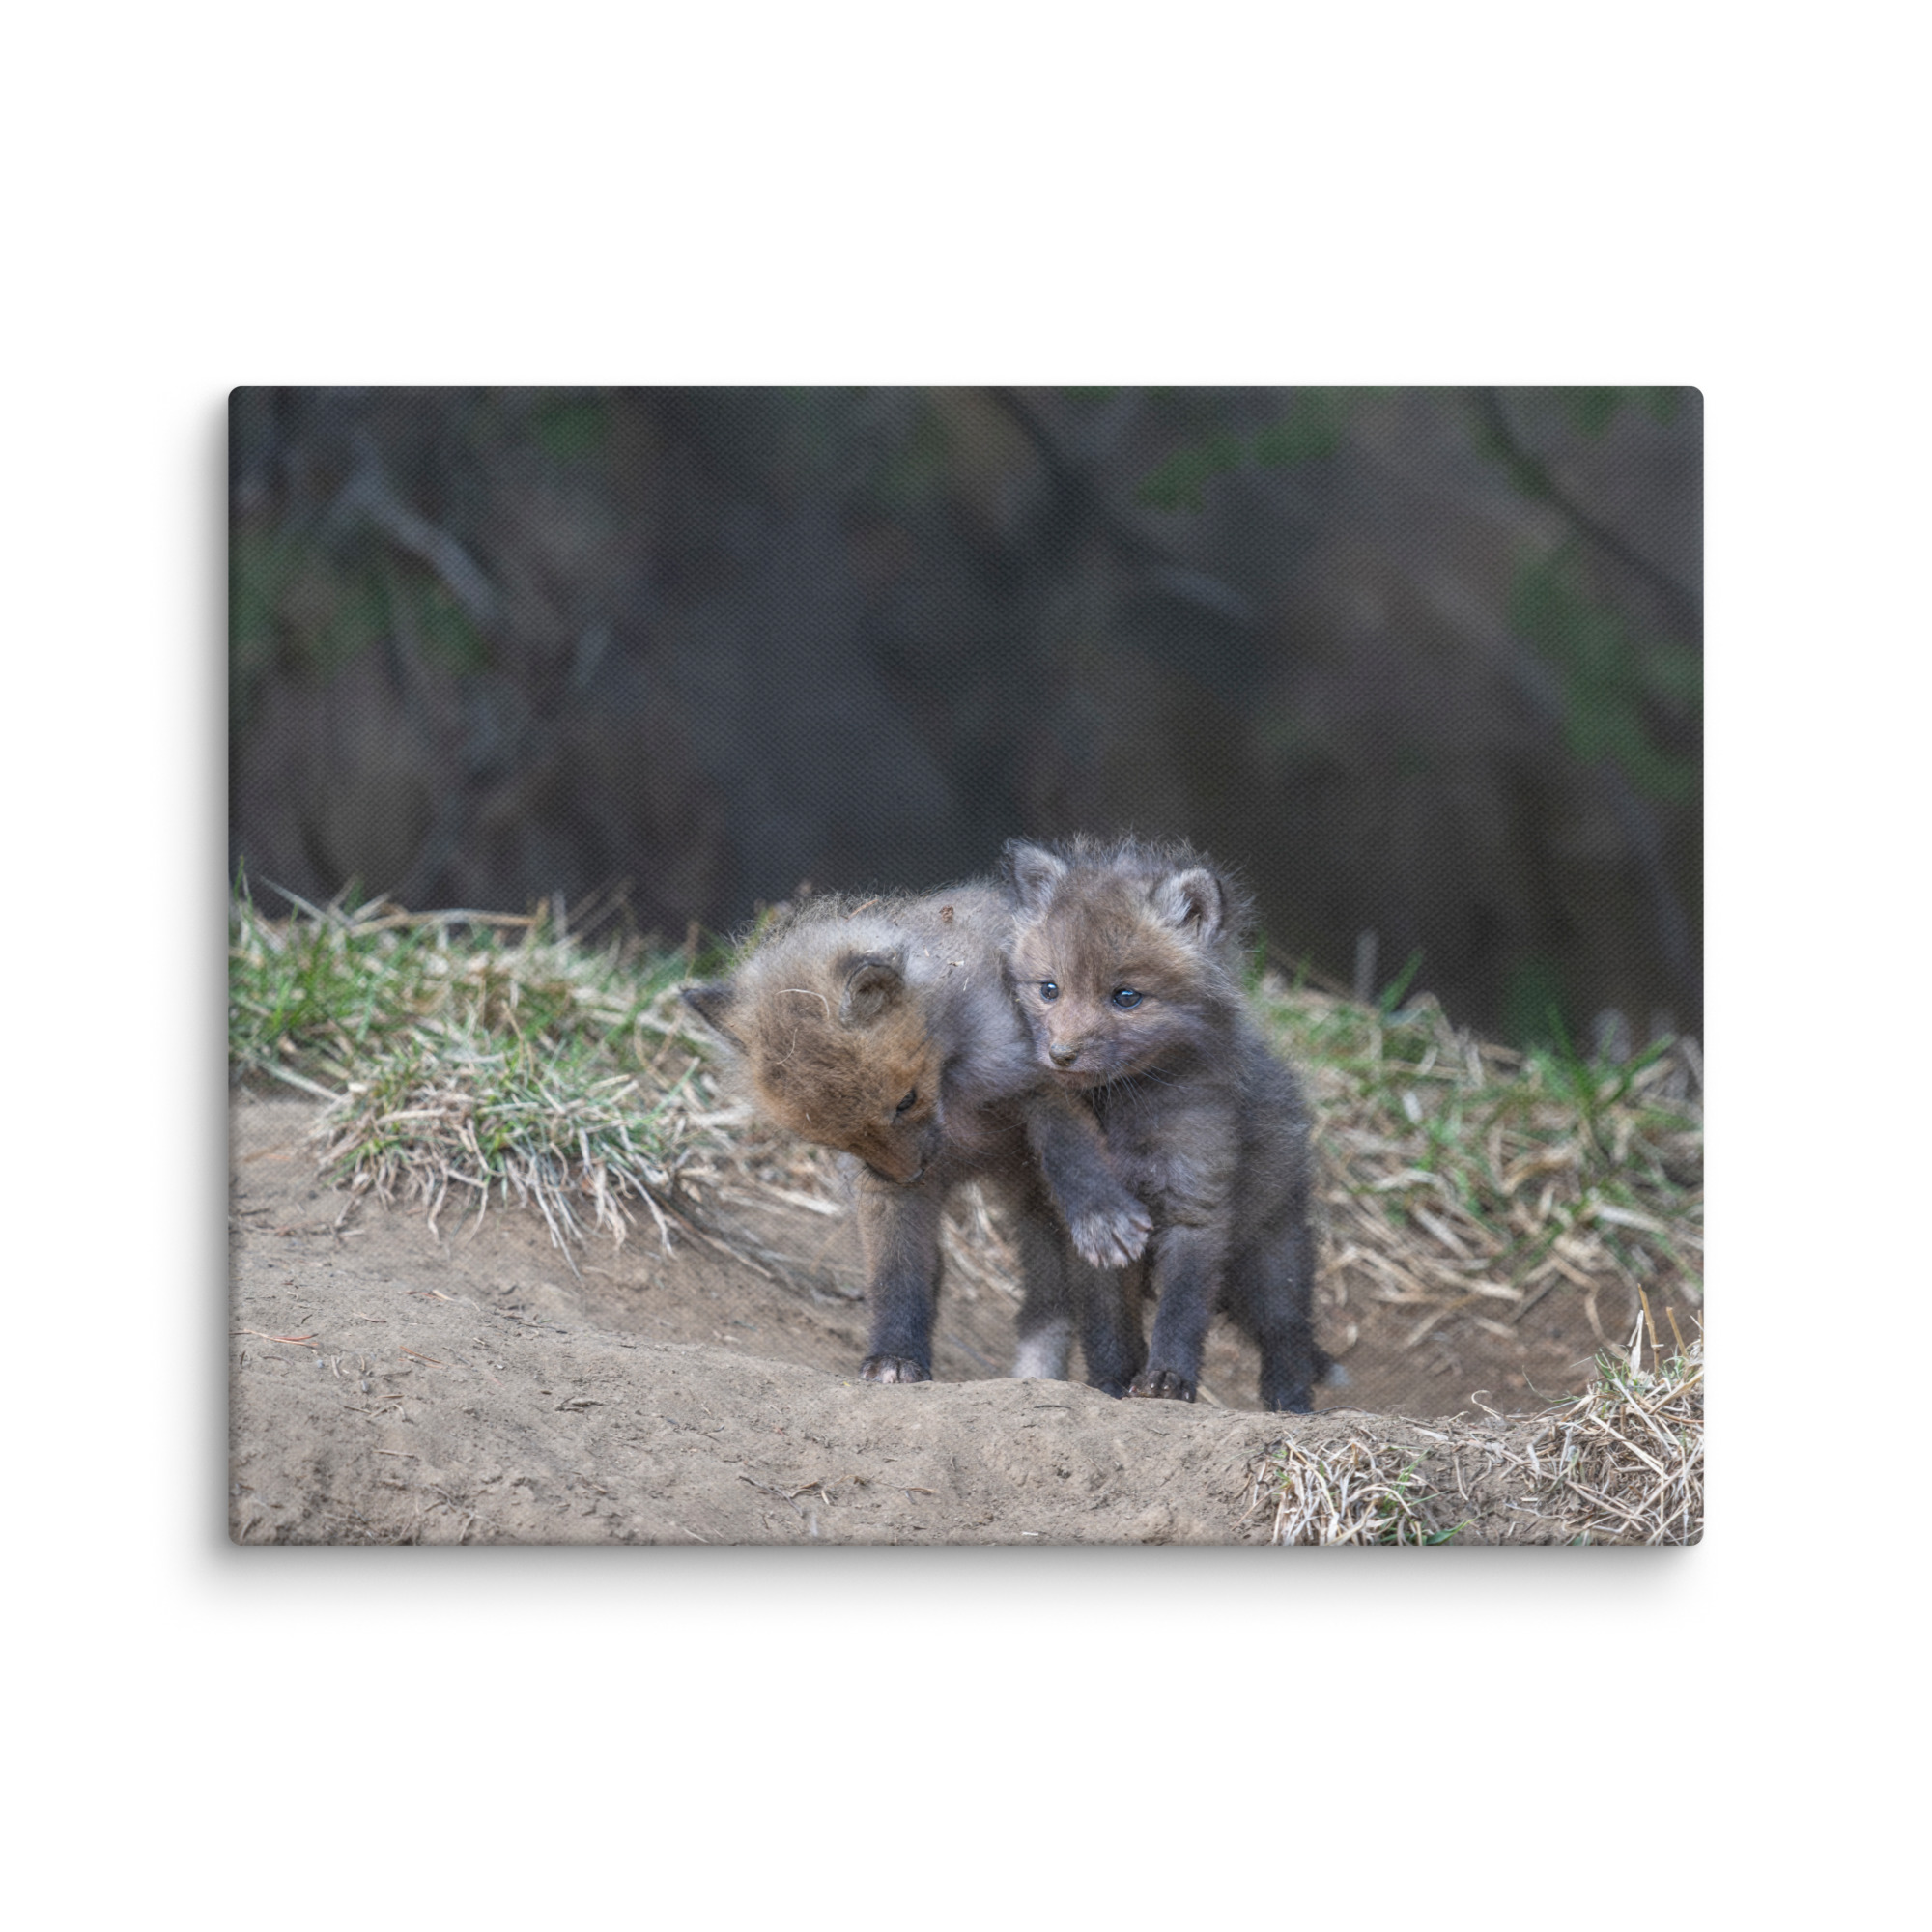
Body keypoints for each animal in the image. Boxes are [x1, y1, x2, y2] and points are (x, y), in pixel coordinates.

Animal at [681, 882, 1152, 1387]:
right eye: (835, 1139)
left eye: (905, 1101)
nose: (910, 1174)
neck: (955, 1093)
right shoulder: (881, 1188)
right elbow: (897, 1275)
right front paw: (895, 1356)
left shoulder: (1042, 1079)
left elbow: (1072, 1153)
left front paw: (1101, 1215)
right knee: (1043, 1304)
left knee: (1099, 1308)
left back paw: (1115, 1381)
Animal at [1001, 836, 1326, 1412]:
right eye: (1049, 989)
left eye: (1126, 997)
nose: (1060, 1055)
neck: (1124, 1113)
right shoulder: (1096, 1233)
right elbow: (1107, 1322)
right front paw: (1111, 1384)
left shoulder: (1196, 1204)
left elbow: (1182, 1310)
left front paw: (1168, 1380)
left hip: (1271, 1257)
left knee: (1288, 1333)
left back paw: (1291, 1407)